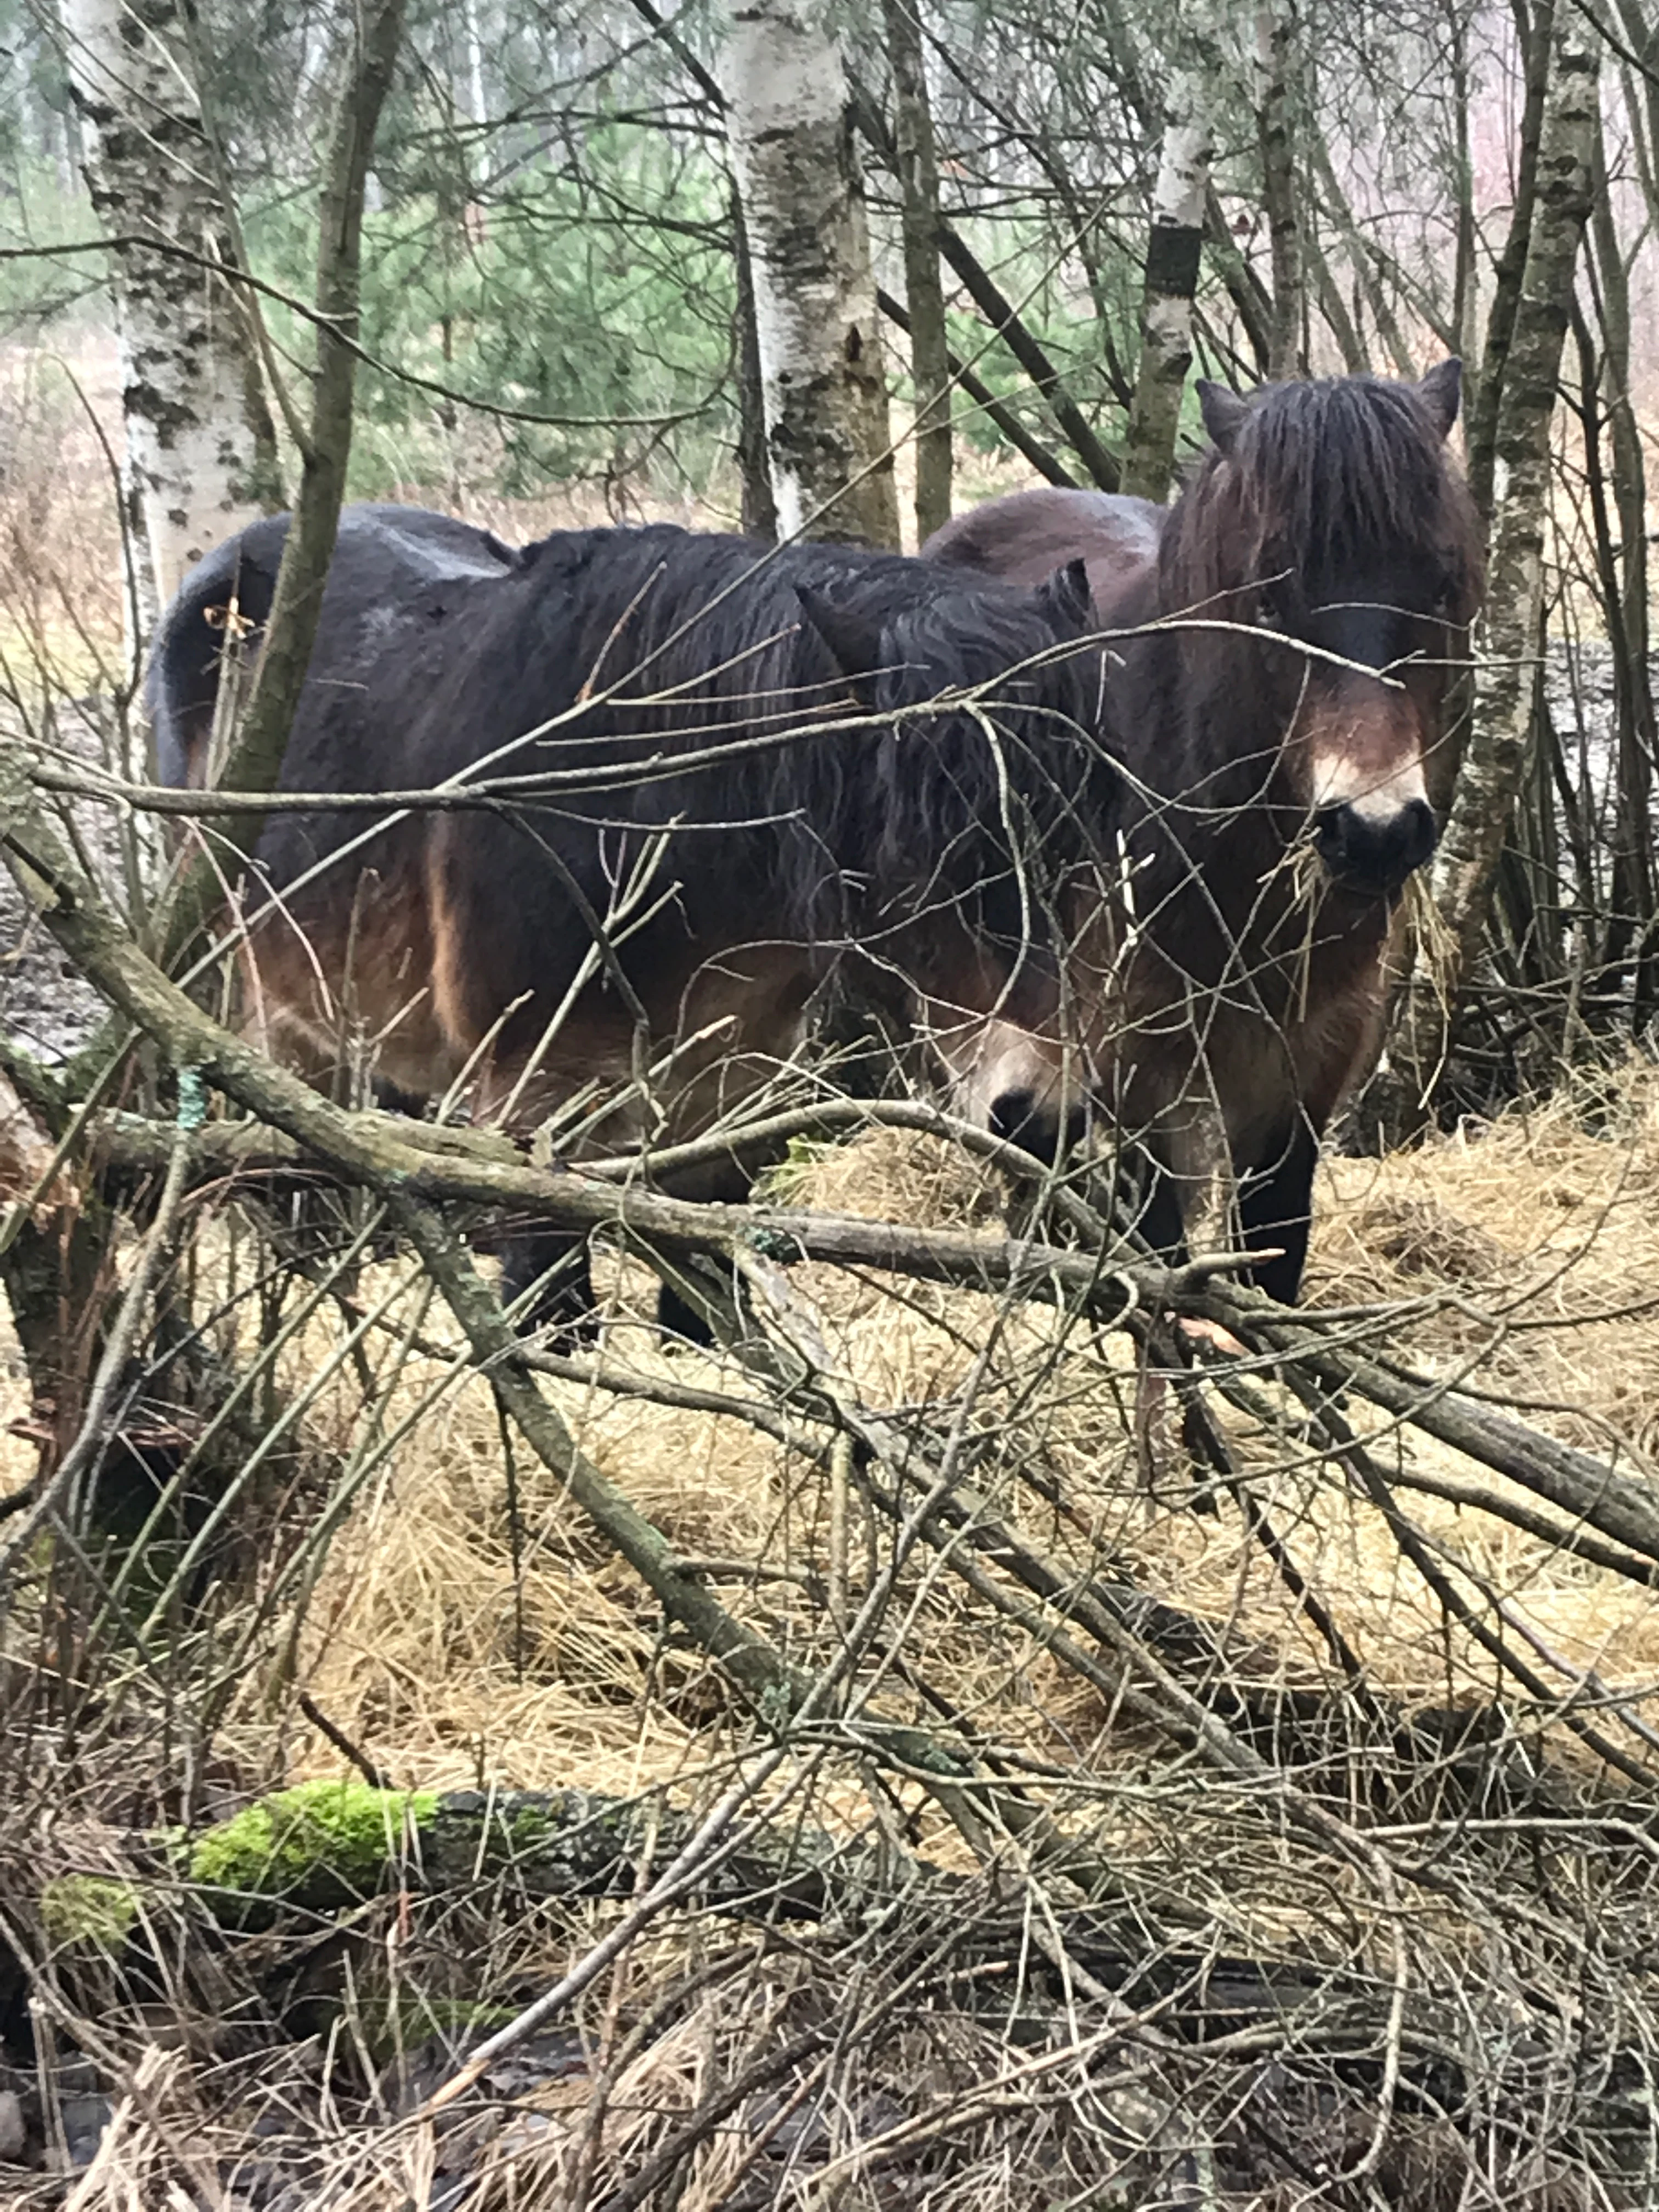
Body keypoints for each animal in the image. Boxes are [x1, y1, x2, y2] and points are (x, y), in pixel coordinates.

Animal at [147, 509, 1114, 1332]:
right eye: (921, 856)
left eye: (1083, 838)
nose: (1043, 1113)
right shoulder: (535, 1098)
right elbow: (552, 1308)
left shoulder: (728, 1091)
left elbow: (709, 1281)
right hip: (271, 1007)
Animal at [924, 362, 1484, 1300]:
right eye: (1270, 594)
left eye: (1442, 584)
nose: (1373, 832)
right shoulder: (1139, 1065)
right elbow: (1161, 1254)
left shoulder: (1308, 1070)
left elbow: (1273, 1251)